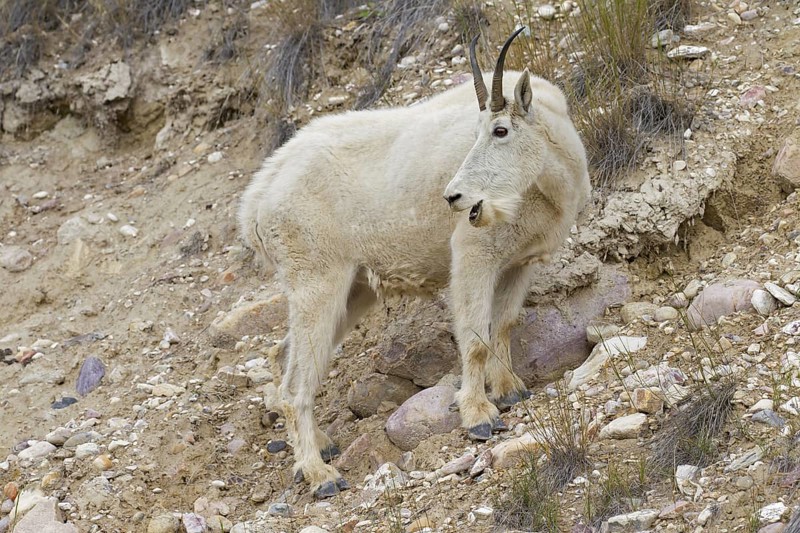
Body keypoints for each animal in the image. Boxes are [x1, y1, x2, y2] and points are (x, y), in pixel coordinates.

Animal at [238, 28, 591, 499]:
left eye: (500, 130)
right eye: (479, 133)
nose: (455, 197)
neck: (549, 182)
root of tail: (256, 200)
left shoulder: (520, 262)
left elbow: (504, 324)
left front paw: (510, 391)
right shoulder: (473, 255)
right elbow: (475, 336)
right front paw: (479, 416)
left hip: (354, 289)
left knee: (284, 357)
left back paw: (321, 446)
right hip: (316, 280)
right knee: (297, 384)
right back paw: (320, 475)